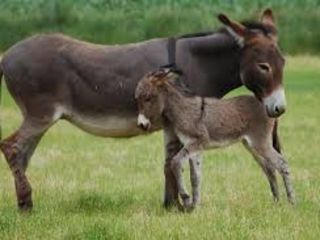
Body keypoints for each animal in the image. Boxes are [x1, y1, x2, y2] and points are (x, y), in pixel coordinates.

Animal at [135, 67, 296, 210]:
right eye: (137, 99)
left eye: (148, 98)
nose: (141, 125)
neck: (182, 109)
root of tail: (268, 108)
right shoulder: (195, 148)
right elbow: (195, 177)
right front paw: (194, 207)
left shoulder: (198, 141)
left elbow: (175, 162)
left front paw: (186, 199)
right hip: (251, 145)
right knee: (270, 169)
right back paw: (276, 202)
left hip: (260, 143)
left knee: (282, 164)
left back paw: (292, 202)